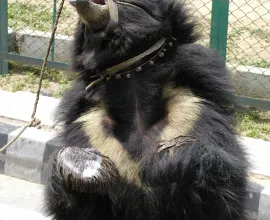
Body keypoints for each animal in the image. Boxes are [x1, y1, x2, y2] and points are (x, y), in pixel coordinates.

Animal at [44, 0, 249, 219]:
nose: (75, 2)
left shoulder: (194, 111)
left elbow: (224, 196)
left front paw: (163, 161)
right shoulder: (89, 128)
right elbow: (81, 207)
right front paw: (80, 166)